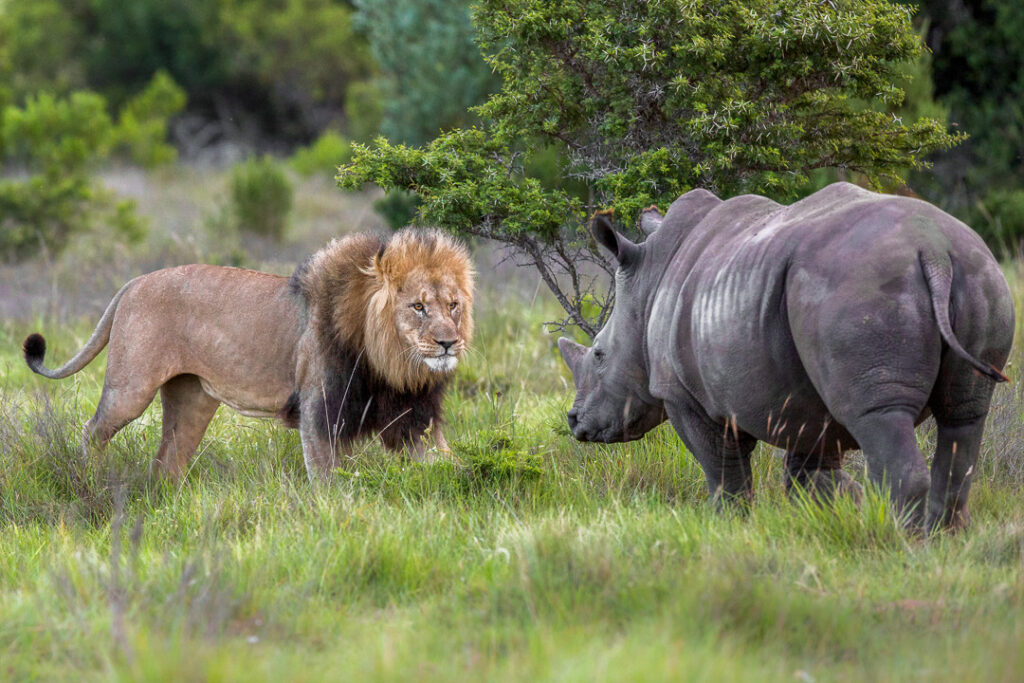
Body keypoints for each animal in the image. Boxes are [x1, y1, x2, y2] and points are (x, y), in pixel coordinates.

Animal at [22, 228, 474, 480]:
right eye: (418, 307)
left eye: (453, 305)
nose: (448, 342)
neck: (394, 365)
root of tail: (134, 282)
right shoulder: (319, 412)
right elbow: (328, 481)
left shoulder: (414, 419)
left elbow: (449, 467)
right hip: (130, 389)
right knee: (92, 432)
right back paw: (90, 480)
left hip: (192, 399)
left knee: (167, 461)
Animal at [559, 182, 1014, 531]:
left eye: (598, 354)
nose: (575, 421)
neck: (650, 283)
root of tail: (933, 250)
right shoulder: (803, 400)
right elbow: (811, 476)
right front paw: (830, 518)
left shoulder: (683, 395)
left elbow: (723, 471)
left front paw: (728, 526)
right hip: (980, 272)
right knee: (965, 416)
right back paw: (944, 539)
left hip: (859, 286)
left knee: (880, 415)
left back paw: (903, 544)